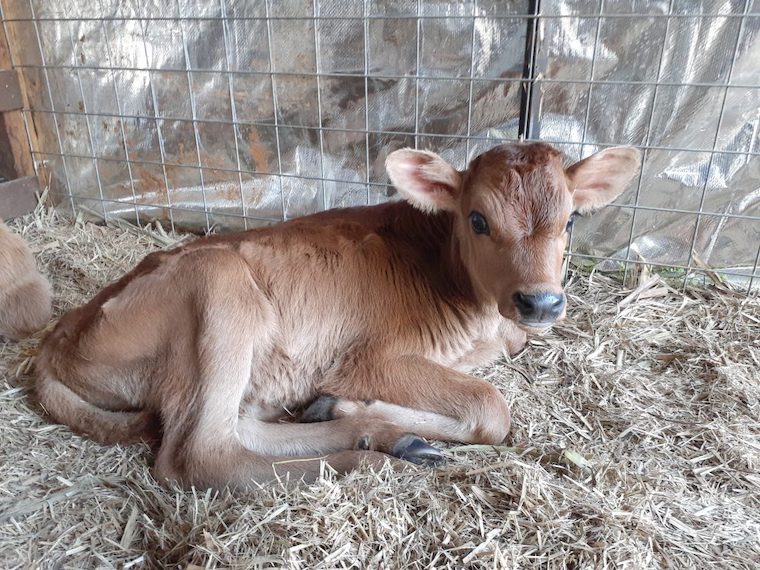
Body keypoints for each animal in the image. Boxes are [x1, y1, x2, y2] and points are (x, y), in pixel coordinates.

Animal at [35, 142, 640, 489]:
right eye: (478, 219)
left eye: (570, 220)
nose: (541, 301)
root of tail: (59, 334)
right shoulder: (368, 358)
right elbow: (491, 408)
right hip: (218, 286)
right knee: (199, 455)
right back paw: (374, 460)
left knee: (240, 427)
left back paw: (378, 432)